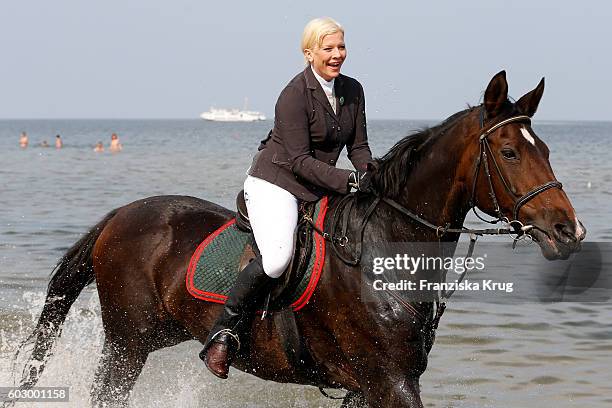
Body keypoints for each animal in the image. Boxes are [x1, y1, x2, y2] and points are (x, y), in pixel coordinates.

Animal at [9, 71, 584, 406]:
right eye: (509, 152)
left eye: (547, 148)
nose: (568, 231)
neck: (385, 249)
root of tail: (121, 215)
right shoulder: (390, 382)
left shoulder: (371, 387)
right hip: (126, 345)